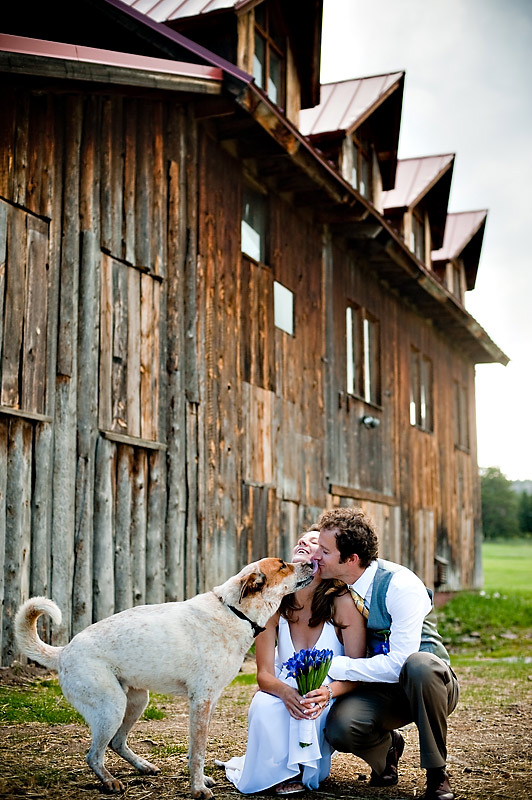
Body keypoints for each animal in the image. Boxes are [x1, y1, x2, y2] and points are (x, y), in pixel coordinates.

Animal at [15, 560, 316, 796]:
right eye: (282, 565)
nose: (311, 563)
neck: (235, 611)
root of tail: (63, 651)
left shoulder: (209, 702)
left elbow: (196, 749)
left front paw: (200, 780)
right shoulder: (201, 700)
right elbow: (198, 752)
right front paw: (198, 789)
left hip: (136, 702)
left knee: (116, 742)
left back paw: (143, 766)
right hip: (111, 708)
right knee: (93, 755)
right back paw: (110, 782)